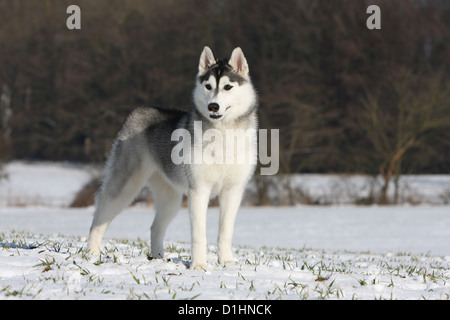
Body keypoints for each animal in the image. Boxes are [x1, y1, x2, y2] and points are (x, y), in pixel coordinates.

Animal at [88, 46, 258, 268]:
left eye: (228, 87)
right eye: (208, 86)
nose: (213, 106)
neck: (222, 134)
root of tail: (139, 110)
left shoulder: (233, 191)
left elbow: (225, 231)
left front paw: (227, 262)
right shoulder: (199, 190)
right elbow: (199, 234)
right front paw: (199, 266)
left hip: (170, 199)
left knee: (155, 227)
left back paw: (158, 258)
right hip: (124, 187)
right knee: (99, 218)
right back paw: (92, 253)